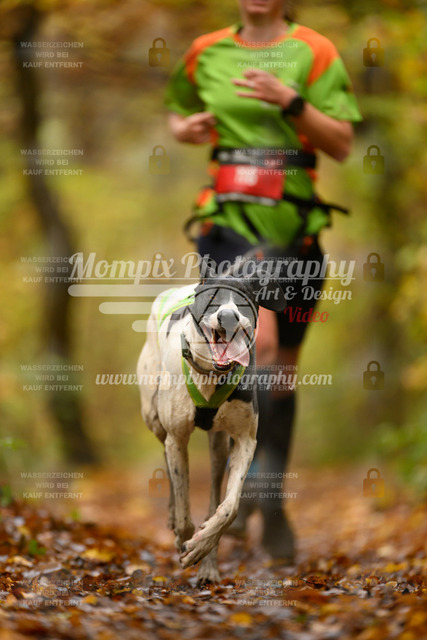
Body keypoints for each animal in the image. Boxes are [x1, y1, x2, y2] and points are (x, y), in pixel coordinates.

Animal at [137, 259, 286, 583]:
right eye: (212, 298)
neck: (211, 374)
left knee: (215, 491)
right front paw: (184, 538)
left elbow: (229, 507)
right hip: (154, 417)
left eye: (243, 301)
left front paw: (202, 547)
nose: (228, 316)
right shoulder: (176, 437)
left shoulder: (245, 439)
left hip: (218, 445)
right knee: (166, 460)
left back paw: (209, 562)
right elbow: (183, 505)